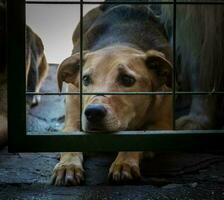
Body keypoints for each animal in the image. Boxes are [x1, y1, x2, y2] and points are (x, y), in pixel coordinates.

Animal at [51, 4, 172, 186]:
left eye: (127, 79)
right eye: (85, 79)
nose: (93, 112)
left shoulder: (164, 126)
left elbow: (139, 136)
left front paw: (124, 162)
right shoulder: (73, 112)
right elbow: (70, 137)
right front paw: (68, 165)